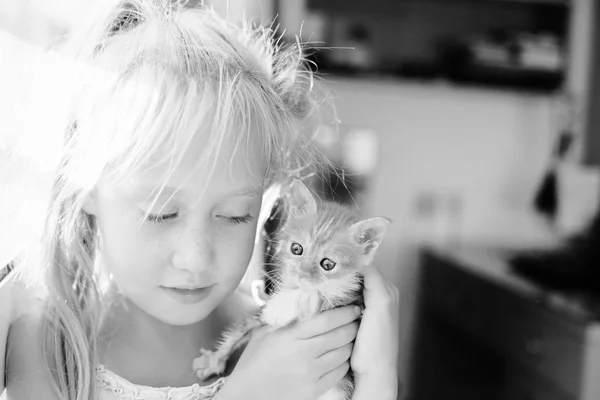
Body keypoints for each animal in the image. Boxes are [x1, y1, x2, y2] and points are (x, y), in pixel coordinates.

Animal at [191, 179, 390, 400]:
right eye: (297, 249)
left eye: (328, 264)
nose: (301, 272)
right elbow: (241, 330)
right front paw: (213, 360)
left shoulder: (355, 305)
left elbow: (315, 295)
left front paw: (281, 307)